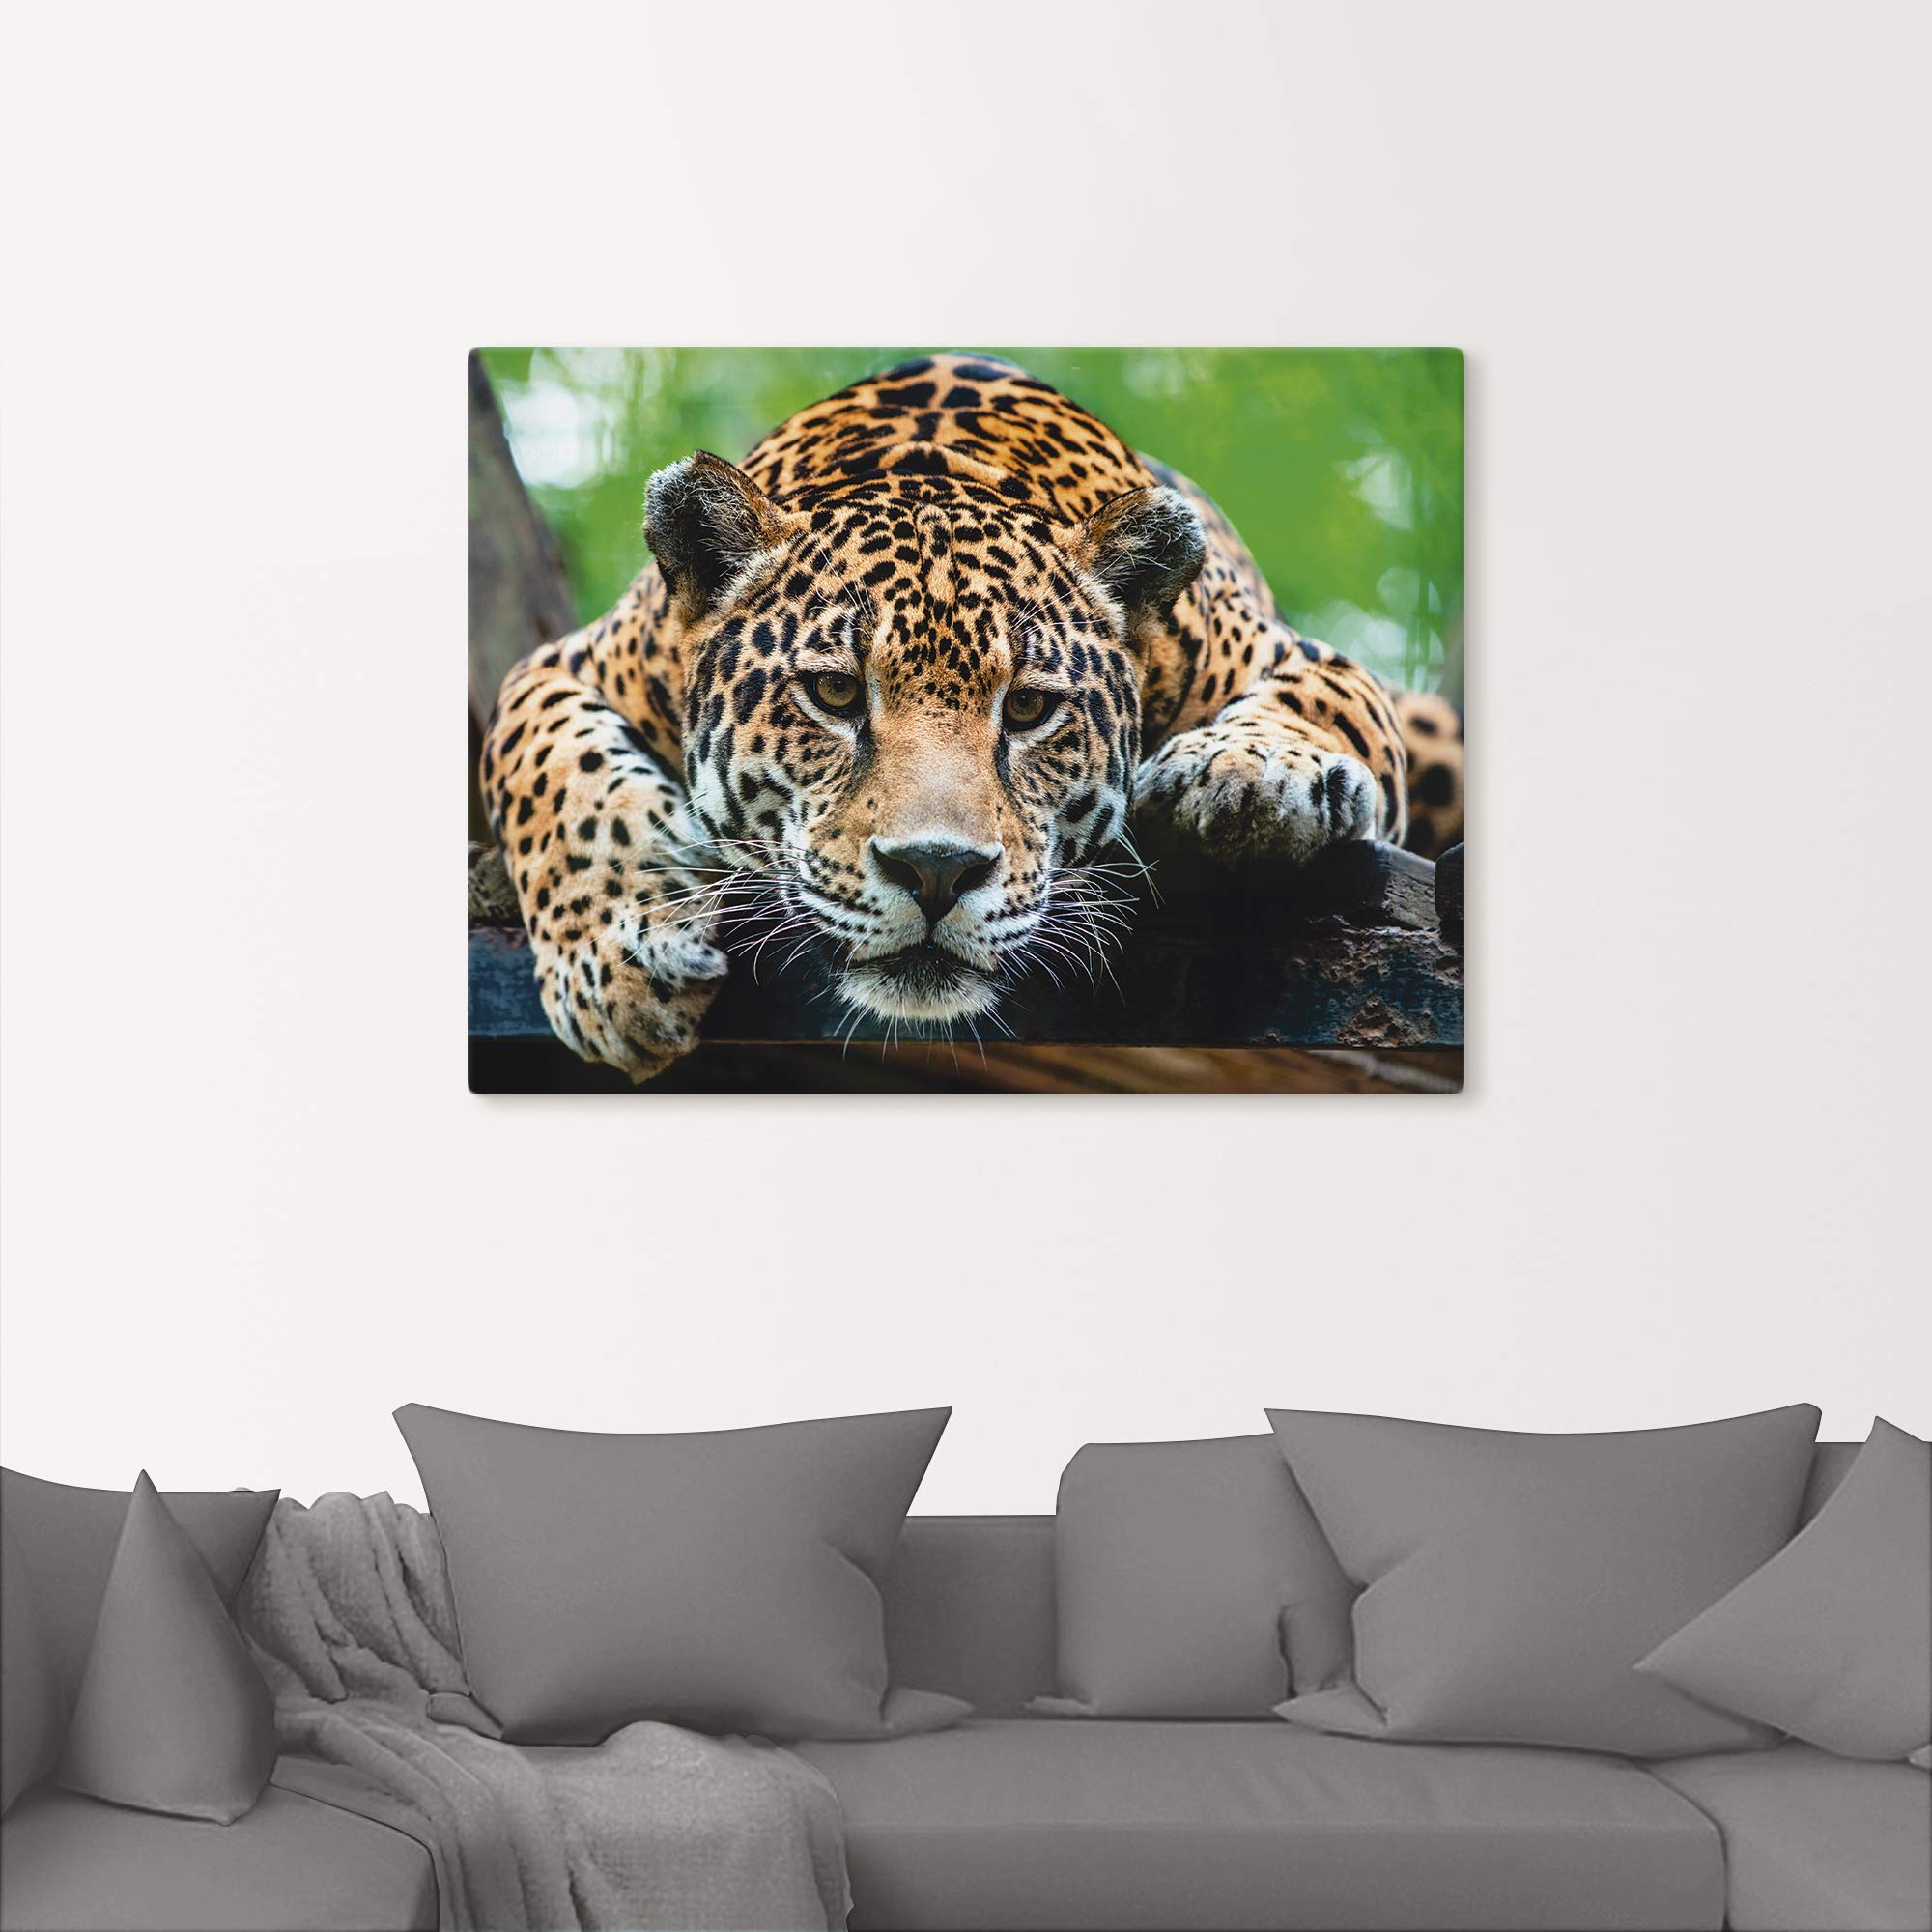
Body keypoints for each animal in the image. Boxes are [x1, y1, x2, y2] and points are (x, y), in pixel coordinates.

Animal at [479, 354, 1465, 1081]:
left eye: (1028, 708)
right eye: (835, 695)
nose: (936, 872)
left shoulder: (1296, 656)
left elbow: (1323, 703)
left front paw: (1251, 775)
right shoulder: (564, 664)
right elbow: (553, 774)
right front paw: (617, 964)